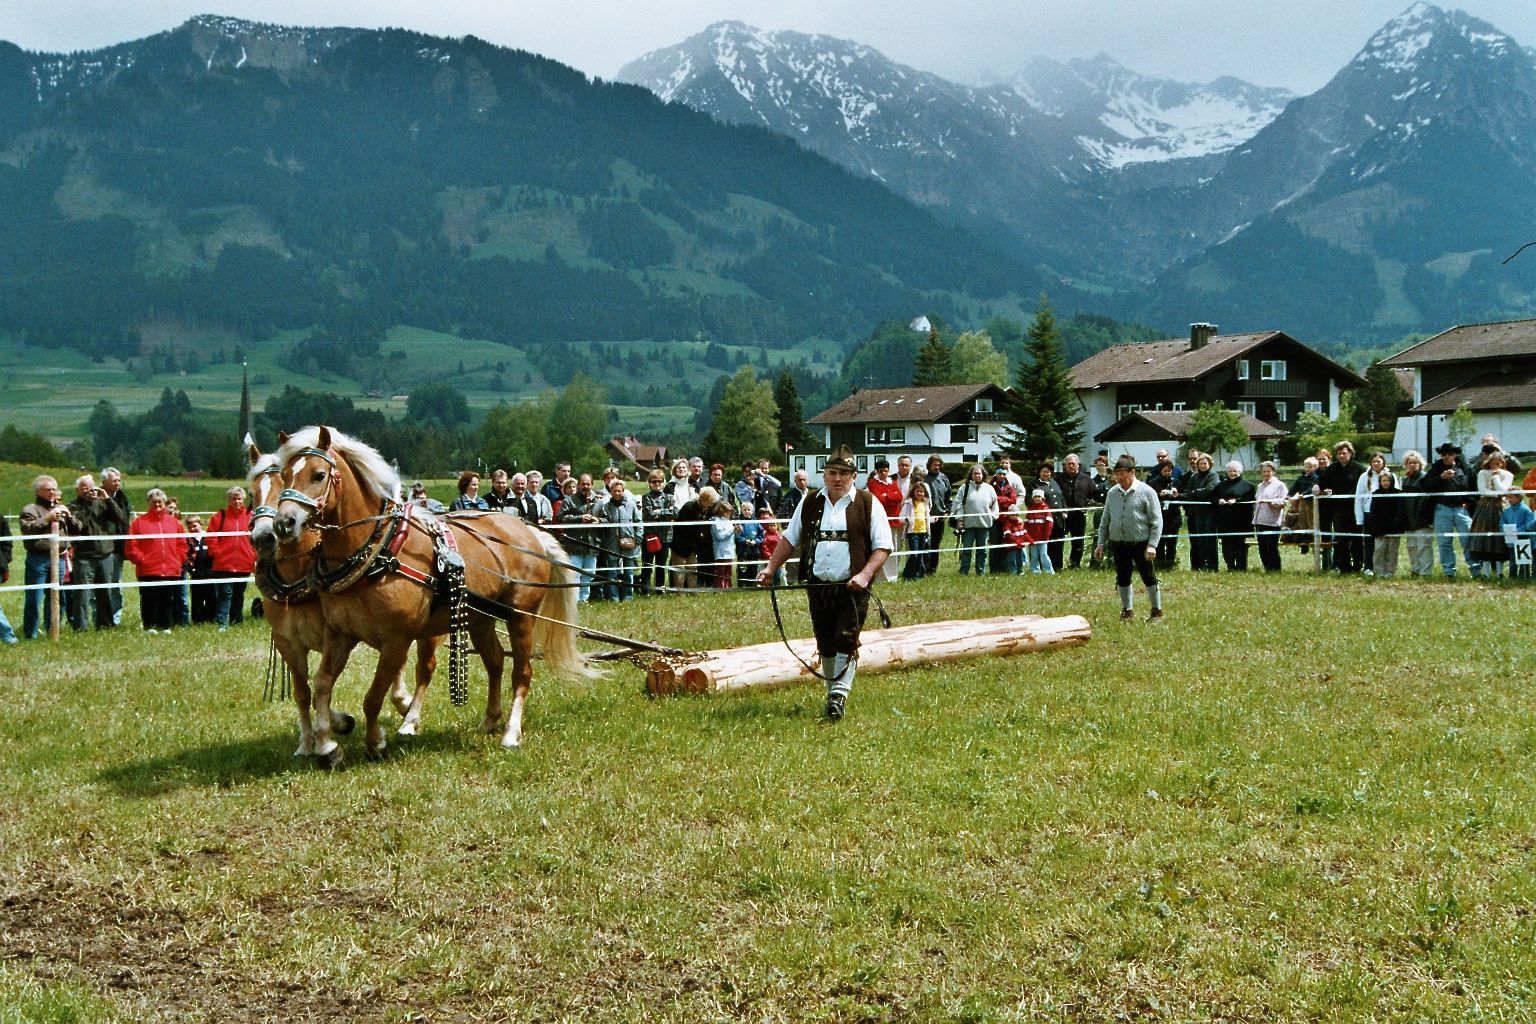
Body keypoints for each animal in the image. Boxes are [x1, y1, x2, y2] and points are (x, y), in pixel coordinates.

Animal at [246, 438, 442, 758]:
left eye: (282, 483)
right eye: (252, 493)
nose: (266, 536)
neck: (296, 575)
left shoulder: (333, 636)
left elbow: (320, 689)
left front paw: (337, 725)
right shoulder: (290, 644)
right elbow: (305, 692)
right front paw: (307, 743)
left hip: (428, 631)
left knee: (423, 667)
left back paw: (408, 717)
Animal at [270, 425, 594, 765]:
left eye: (319, 474)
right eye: (283, 475)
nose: (283, 523)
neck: (378, 553)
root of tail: (529, 531)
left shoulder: (396, 640)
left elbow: (373, 697)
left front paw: (374, 743)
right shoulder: (339, 635)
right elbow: (321, 686)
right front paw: (326, 745)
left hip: (521, 617)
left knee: (522, 672)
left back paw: (511, 733)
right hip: (480, 619)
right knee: (495, 662)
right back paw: (489, 720)